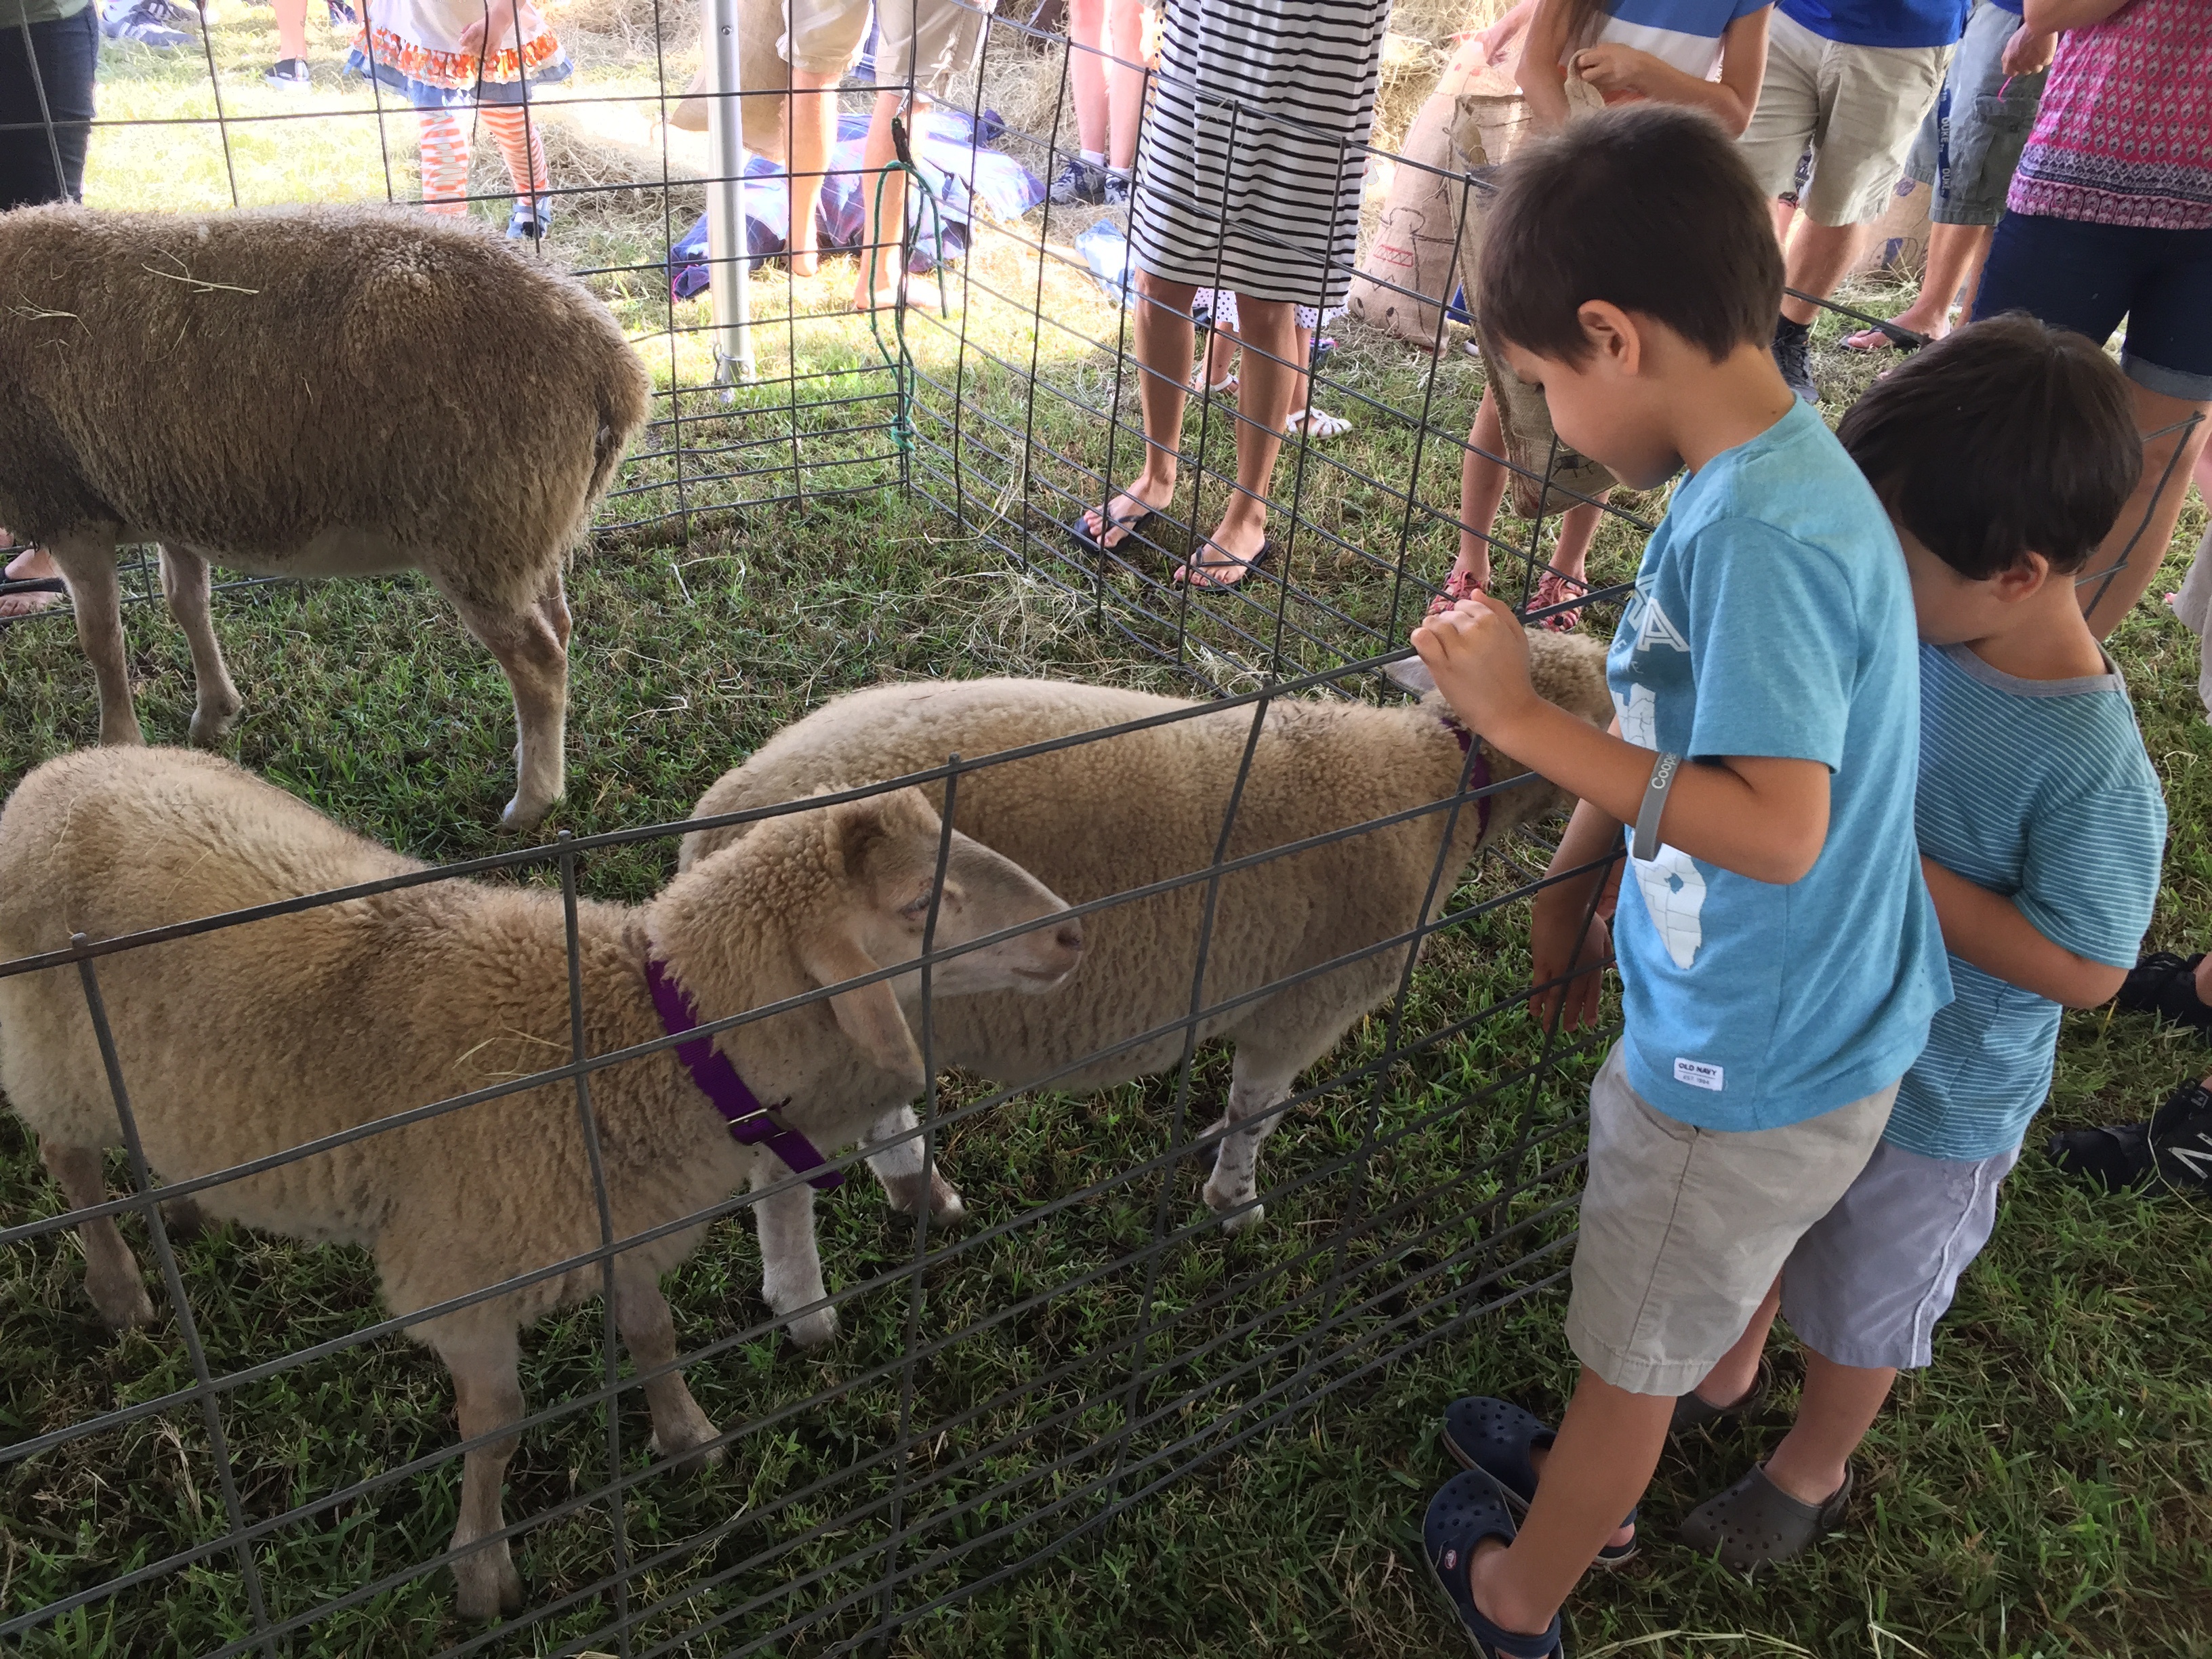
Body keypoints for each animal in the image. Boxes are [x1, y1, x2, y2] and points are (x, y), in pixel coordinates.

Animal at [0, 204, 650, 832]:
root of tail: (614, 366)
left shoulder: (67, 510)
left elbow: (102, 641)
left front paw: (117, 746)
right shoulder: (168, 496)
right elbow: (186, 604)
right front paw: (215, 714)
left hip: (478, 530)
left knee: (538, 661)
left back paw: (532, 802)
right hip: (527, 524)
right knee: (559, 626)